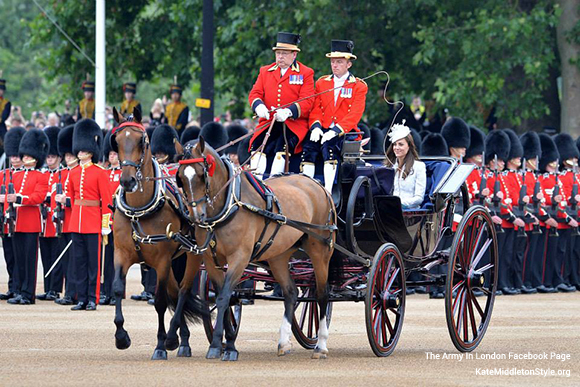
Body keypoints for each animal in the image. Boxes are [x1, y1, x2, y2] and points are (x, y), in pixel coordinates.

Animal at [110, 108, 205, 360]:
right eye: (117, 141)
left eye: (142, 141)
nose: (127, 180)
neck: (138, 210)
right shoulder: (121, 254)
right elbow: (117, 288)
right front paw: (121, 336)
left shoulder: (162, 260)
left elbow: (161, 301)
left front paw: (161, 344)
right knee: (176, 290)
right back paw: (183, 340)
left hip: (192, 255)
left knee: (183, 291)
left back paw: (173, 337)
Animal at [177, 139, 338, 360]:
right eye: (181, 178)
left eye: (203, 174)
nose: (195, 216)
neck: (229, 205)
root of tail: (319, 186)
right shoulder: (211, 260)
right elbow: (222, 297)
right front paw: (227, 342)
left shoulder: (239, 258)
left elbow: (224, 296)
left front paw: (218, 344)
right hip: (279, 255)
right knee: (291, 292)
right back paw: (283, 342)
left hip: (320, 251)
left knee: (322, 294)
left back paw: (320, 345)